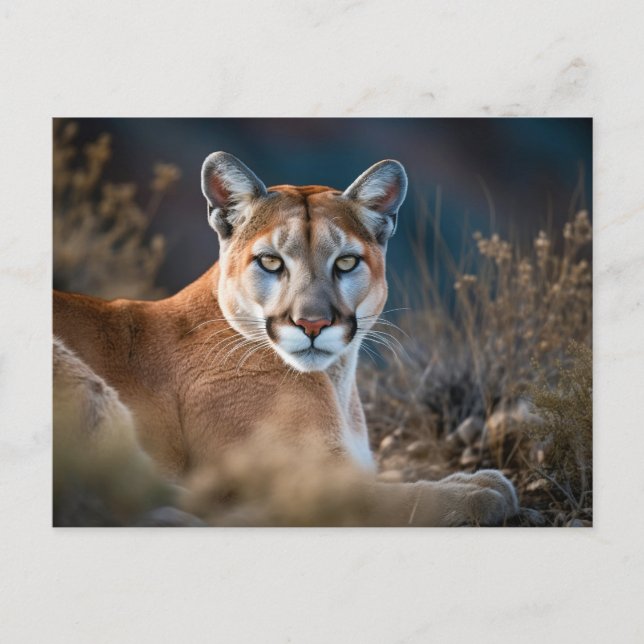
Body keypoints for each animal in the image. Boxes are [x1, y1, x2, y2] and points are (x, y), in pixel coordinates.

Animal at [53, 151, 519, 526]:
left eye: (345, 262)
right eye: (271, 262)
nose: (312, 324)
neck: (336, 381)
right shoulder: (301, 479)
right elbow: (377, 499)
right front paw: (476, 490)